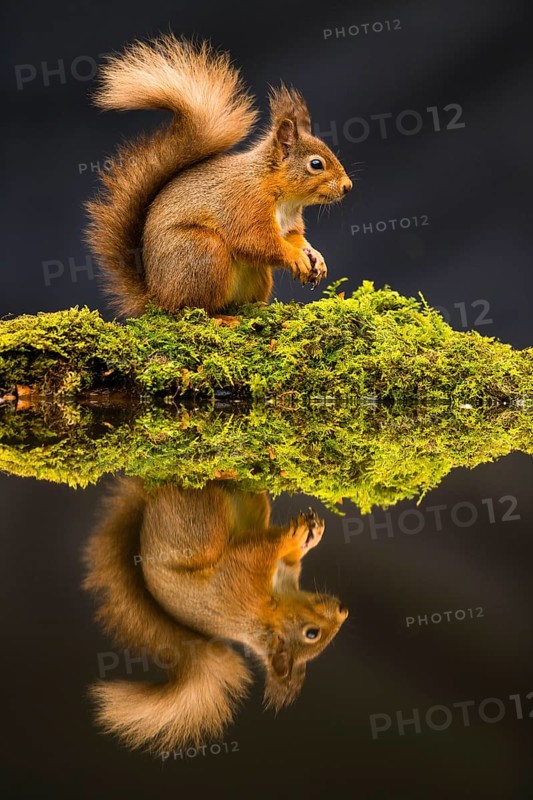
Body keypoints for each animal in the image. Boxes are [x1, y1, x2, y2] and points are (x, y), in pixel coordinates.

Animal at [83, 478, 348, 754]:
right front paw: (300, 538)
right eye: (312, 633)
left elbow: (265, 551)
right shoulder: (245, 579)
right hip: (204, 527)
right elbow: (262, 551)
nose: (344, 610)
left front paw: (302, 539)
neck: (272, 606)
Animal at [85, 34, 353, 317]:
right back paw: (221, 319)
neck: (281, 195)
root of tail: (158, 298)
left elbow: (294, 237)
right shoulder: (246, 205)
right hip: (204, 252)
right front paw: (295, 256)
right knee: (195, 308)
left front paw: (314, 255)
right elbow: (256, 241)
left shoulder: (289, 221)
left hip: (254, 275)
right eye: (316, 164)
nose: (347, 186)